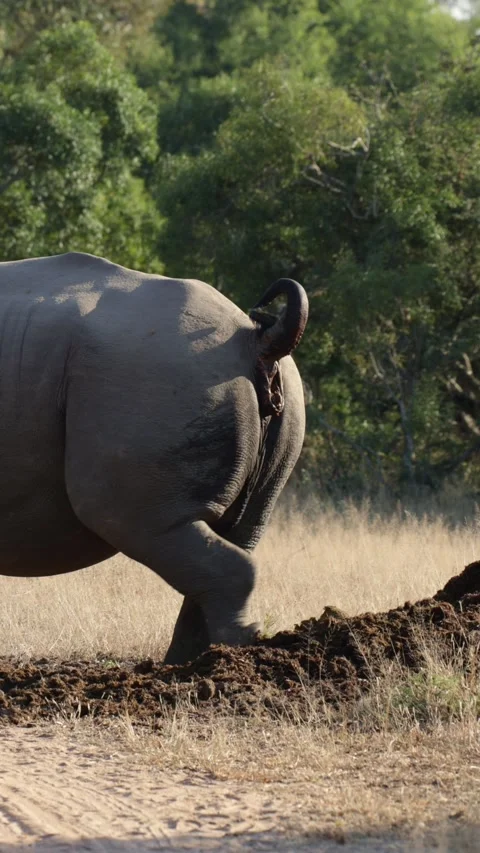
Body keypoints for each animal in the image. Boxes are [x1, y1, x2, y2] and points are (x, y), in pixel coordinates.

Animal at [0, 252, 308, 664]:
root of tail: (254, 340)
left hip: (154, 375)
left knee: (138, 520)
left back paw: (219, 663)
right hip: (247, 381)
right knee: (235, 533)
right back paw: (188, 665)